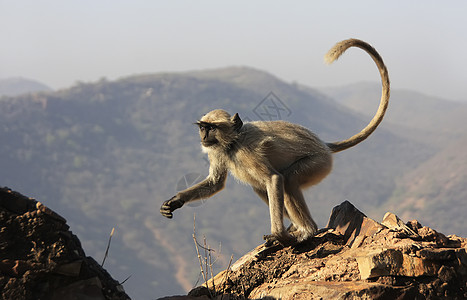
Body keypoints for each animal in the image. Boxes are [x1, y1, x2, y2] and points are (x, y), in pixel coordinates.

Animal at [161, 38, 392, 246]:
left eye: (212, 128)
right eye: (203, 127)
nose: (203, 136)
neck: (233, 143)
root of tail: (323, 145)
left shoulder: (247, 152)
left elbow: (274, 179)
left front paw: (279, 234)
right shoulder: (216, 150)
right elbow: (215, 183)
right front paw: (174, 201)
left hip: (319, 163)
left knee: (287, 180)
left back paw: (307, 231)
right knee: (260, 186)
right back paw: (298, 228)